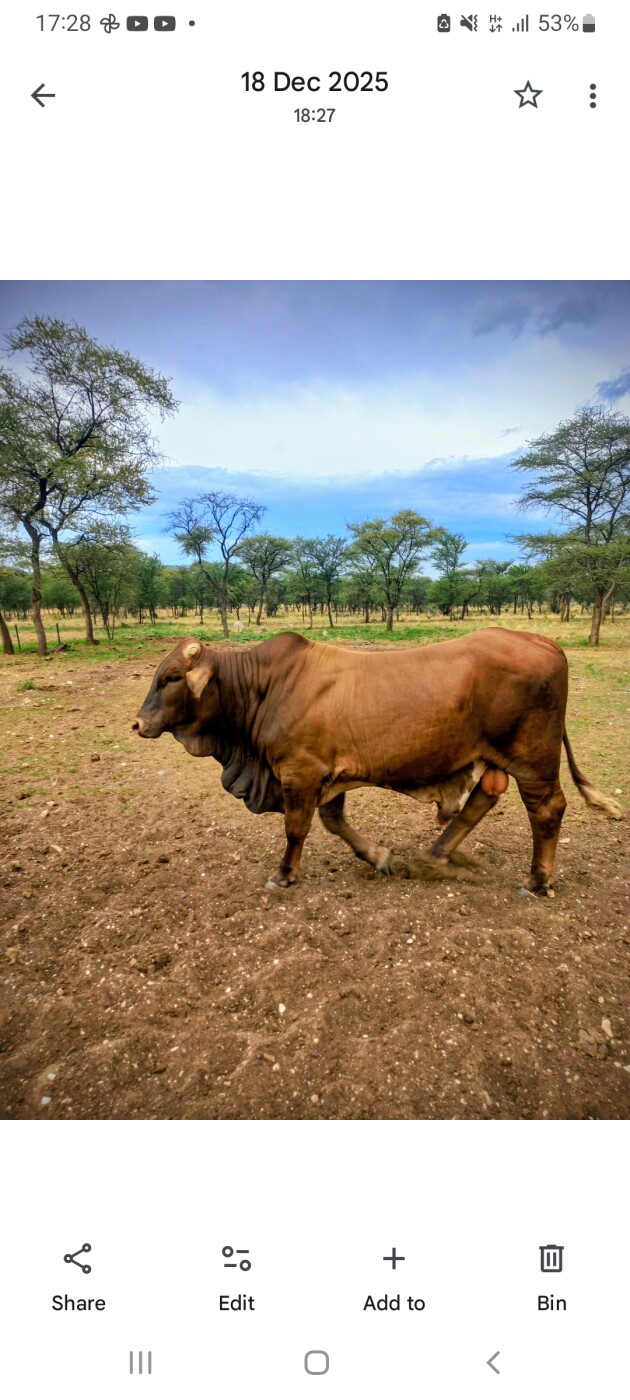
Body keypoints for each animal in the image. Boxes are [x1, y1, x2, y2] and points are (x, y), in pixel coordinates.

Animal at [132, 629, 621, 895]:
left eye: (172, 677)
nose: (138, 723)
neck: (263, 687)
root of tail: (544, 642)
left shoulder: (299, 772)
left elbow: (297, 829)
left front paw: (284, 874)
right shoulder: (327, 777)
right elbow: (333, 822)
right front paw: (379, 857)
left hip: (533, 759)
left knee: (547, 810)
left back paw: (537, 881)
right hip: (494, 756)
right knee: (484, 797)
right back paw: (433, 857)